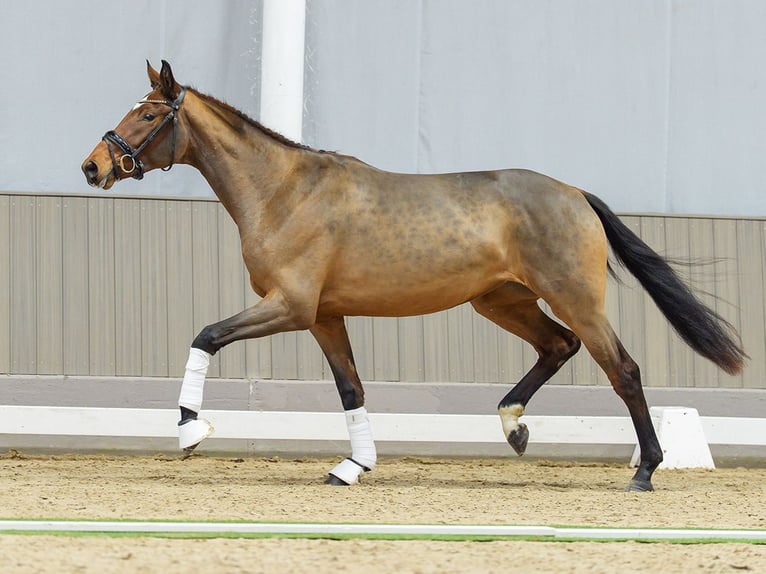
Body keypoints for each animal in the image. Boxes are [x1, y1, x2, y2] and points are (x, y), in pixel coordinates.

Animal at [82, 61, 745, 491]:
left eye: (148, 114)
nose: (93, 166)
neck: (284, 192)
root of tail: (575, 193)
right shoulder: (323, 315)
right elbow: (351, 389)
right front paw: (353, 467)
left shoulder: (289, 306)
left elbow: (206, 336)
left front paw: (190, 431)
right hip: (501, 302)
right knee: (560, 347)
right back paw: (513, 427)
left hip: (573, 298)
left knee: (622, 369)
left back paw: (645, 470)